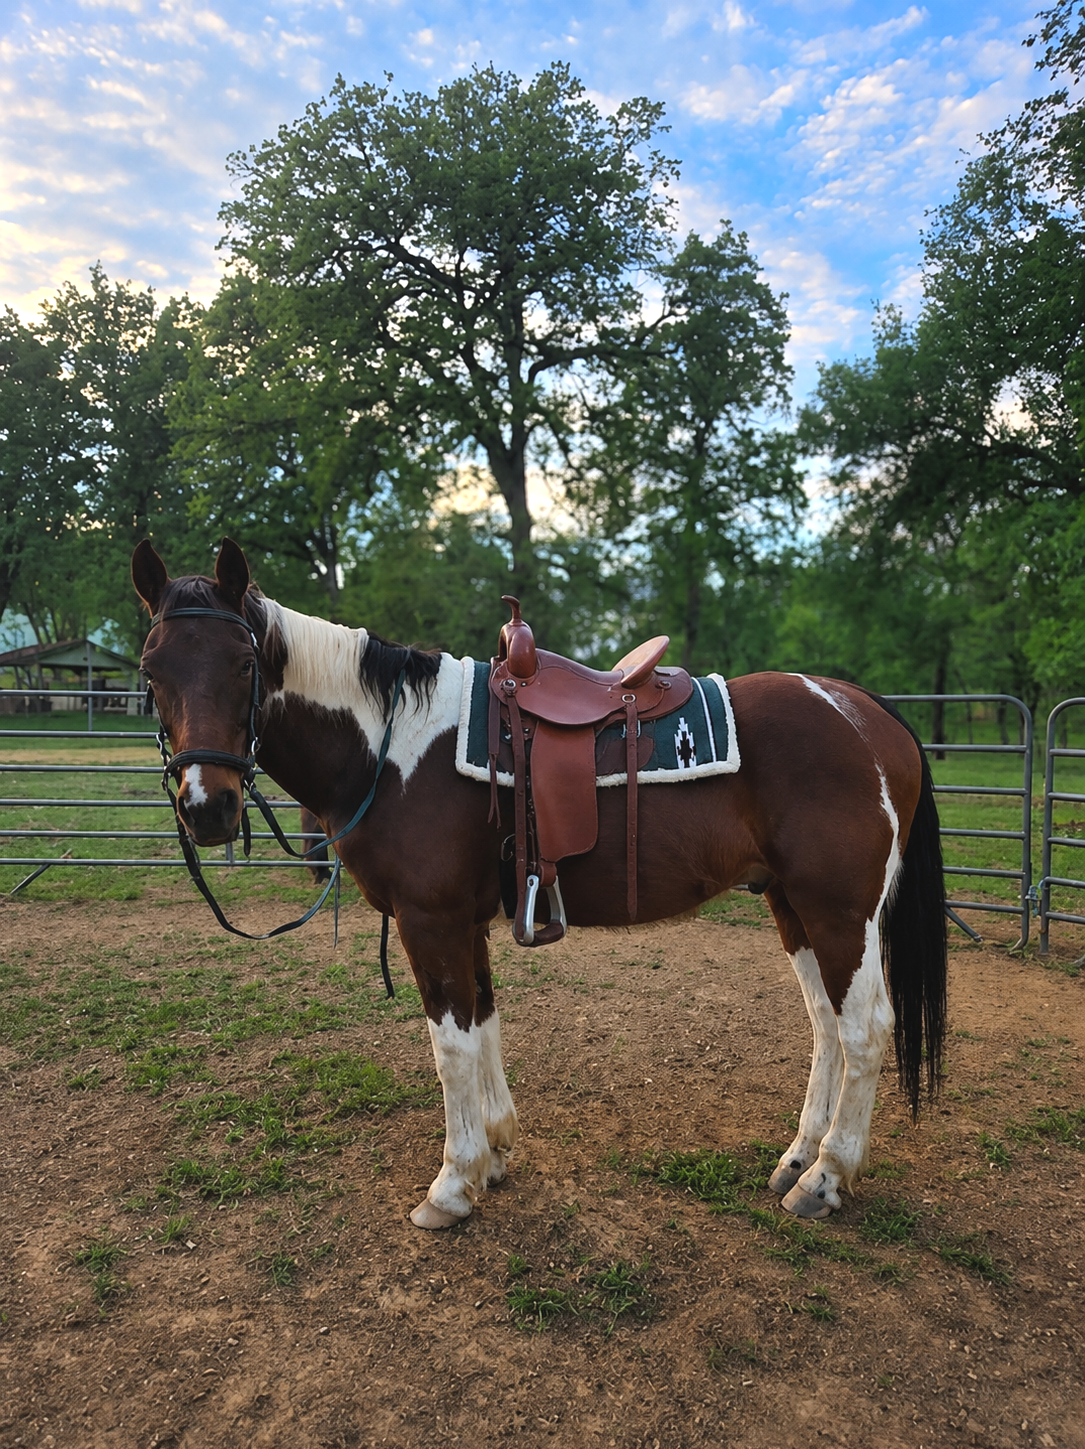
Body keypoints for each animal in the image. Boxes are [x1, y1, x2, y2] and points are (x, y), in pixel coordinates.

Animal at [132, 538, 947, 1231]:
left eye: (244, 664)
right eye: (150, 671)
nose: (207, 807)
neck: (392, 746)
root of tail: (870, 714)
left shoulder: (429, 920)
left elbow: (450, 1044)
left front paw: (451, 1184)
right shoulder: (464, 921)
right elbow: (483, 1022)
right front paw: (493, 1152)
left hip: (839, 911)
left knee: (865, 1028)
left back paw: (827, 1178)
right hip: (790, 905)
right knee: (825, 1025)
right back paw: (798, 1158)